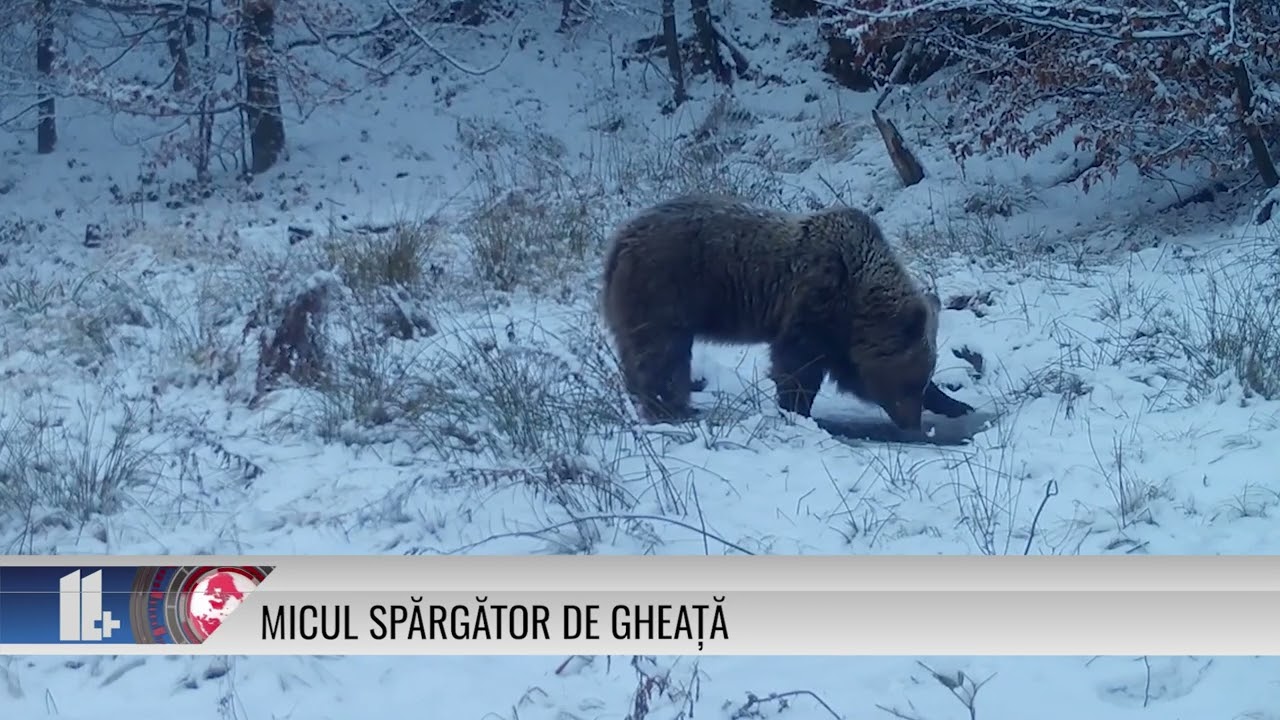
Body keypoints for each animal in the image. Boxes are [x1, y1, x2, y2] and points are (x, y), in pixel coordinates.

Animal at [599, 190, 967, 427]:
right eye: (909, 382)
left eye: (922, 379)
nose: (912, 423)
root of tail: (620, 238)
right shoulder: (816, 301)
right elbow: (797, 365)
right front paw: (797, 410)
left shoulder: (841, 330)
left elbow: (843, 370)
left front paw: (955, 403)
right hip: (665, 288)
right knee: (663, 352)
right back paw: (673, 409)